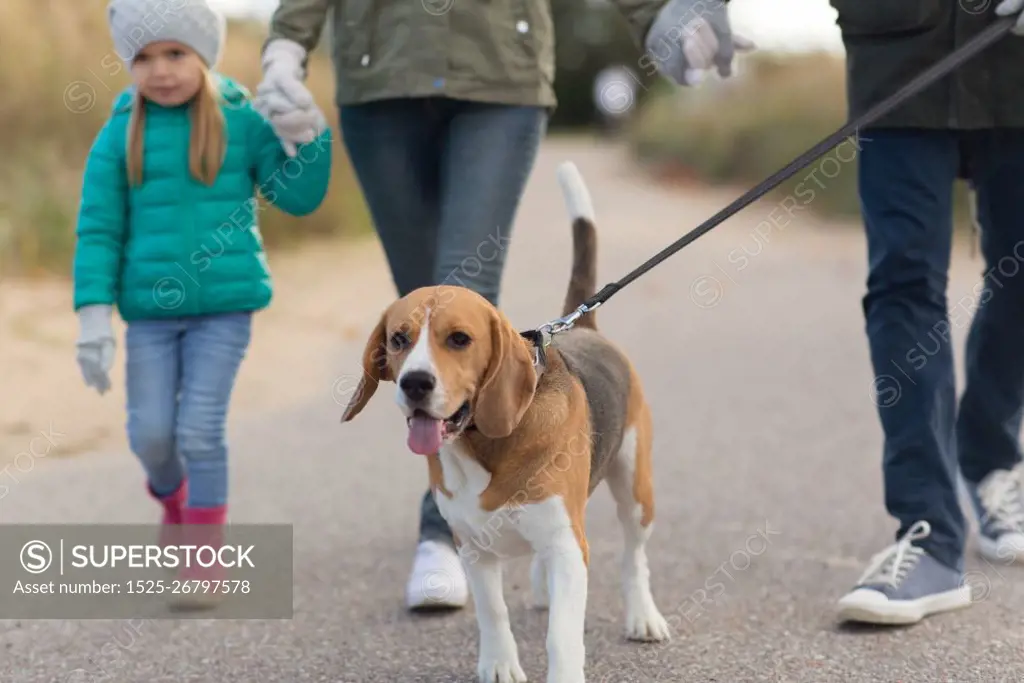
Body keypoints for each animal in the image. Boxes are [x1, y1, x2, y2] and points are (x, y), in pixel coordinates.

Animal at [339, 162, 667, 679]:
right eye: (398, 339)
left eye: (459, 339)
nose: (414, 383)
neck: (484, 446)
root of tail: (584, 326)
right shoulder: (473, 547)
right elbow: (493, 611)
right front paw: (498, 664)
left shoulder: (567, 546)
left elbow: (562, 637)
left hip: (636, 490)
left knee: (634, 558)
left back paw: (643, 616)